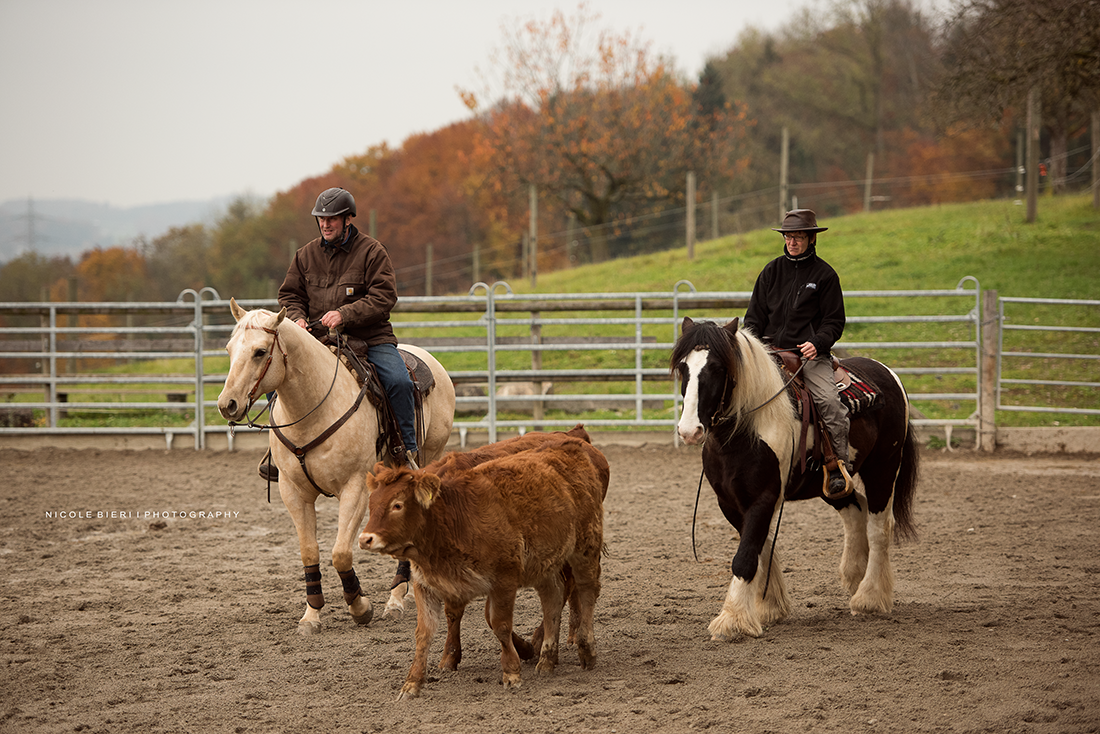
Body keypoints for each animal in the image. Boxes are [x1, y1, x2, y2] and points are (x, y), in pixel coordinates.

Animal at [217, 299, 456, 635]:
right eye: (229, 349)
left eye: (260, 352)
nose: (227, 404)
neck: (312, 410)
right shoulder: (293, 493)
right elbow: (309, 551)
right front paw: (311, 615)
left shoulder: (354, 488)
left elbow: (341, 553)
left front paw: (360, 607)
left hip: (429, 455)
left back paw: (396, 599)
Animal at [670, 317, 918, 640]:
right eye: (683, 367)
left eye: (716, 367)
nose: (689, 431)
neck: (748, 428)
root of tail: (888, 373)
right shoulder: (730, 502)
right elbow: (759, 548)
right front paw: (769, 606)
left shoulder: (764, 497)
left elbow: (746, 555)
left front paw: (732, 620)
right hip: (831, 483)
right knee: (855, 509)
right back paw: (854, 575)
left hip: (883, 468)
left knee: (879, 527)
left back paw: (870, 598)